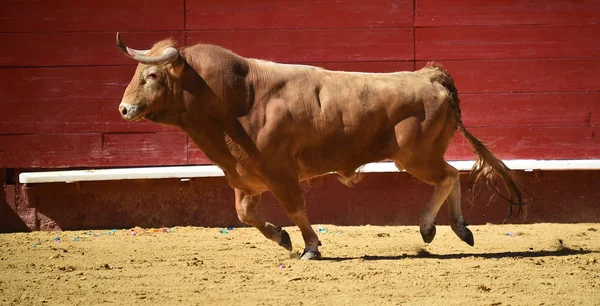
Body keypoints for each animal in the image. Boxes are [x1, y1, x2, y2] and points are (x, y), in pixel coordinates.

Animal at [116, 32, 520, 260]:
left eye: (151, 74)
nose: (123, 109)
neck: (238, 98)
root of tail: (428, 75)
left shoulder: (280, 174)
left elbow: (296, 209)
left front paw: (310, 247)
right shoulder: (247, 176)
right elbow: (244, 214)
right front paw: (281, 239)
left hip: (416, 157)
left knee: (448, 176)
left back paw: (429, 228)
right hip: (420, 156)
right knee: (451, 176)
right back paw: (459, 229)